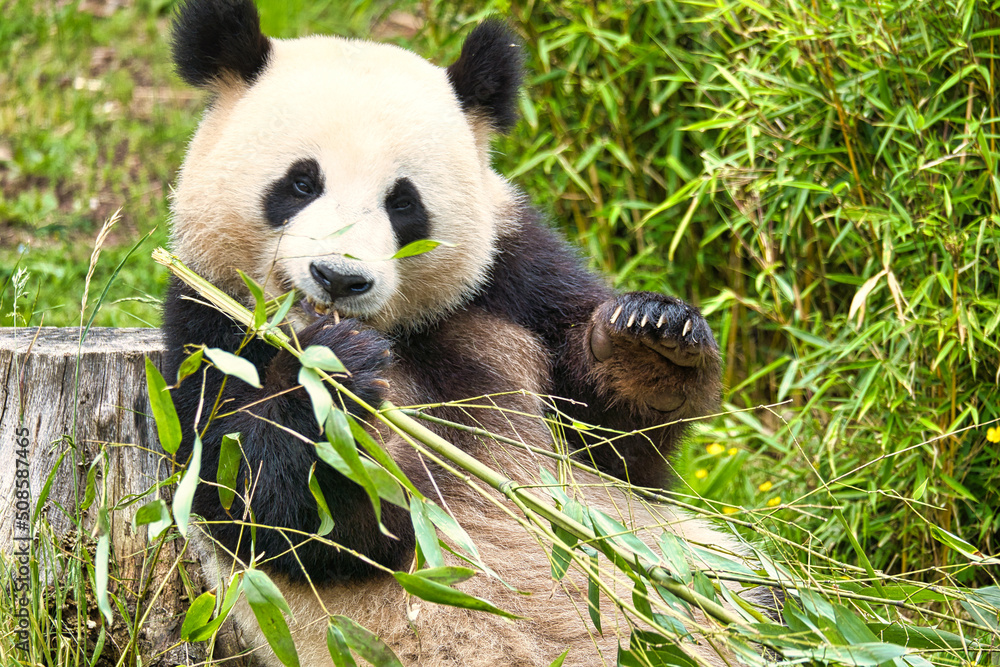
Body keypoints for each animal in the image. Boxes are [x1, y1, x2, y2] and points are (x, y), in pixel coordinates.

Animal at [161, 1, 755, 665]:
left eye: (403, 203)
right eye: (301, 183)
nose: (339, 278)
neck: (397, 332)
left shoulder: (513, 280)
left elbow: (621, 450)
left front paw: (651, 338)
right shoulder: (209, 325)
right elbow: (268, 499)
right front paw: (334, 372)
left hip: (715, 580)